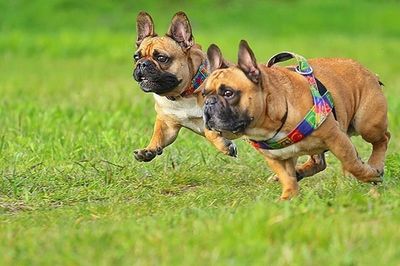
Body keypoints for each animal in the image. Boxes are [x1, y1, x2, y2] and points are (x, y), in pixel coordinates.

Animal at [132, 11, 238, 162]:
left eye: (161, 58)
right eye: (136, 57)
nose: (142, 63)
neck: (183, 95)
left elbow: (210, 130)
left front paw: (225, 145)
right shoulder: (167, 125)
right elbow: (158, 135)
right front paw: (148, 150)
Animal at [202, 40, 390, 200]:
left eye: (228, 93)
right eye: (203, 94)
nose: (208, 103)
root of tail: (367, 71)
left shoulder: (334, 137)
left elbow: (351, 162)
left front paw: (370, 175)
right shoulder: (274, 157)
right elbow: (287, 177)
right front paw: (288, 197)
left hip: (367, 124)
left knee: (383, 139)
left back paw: (375, 165)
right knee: (318, 162)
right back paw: (298, 172)